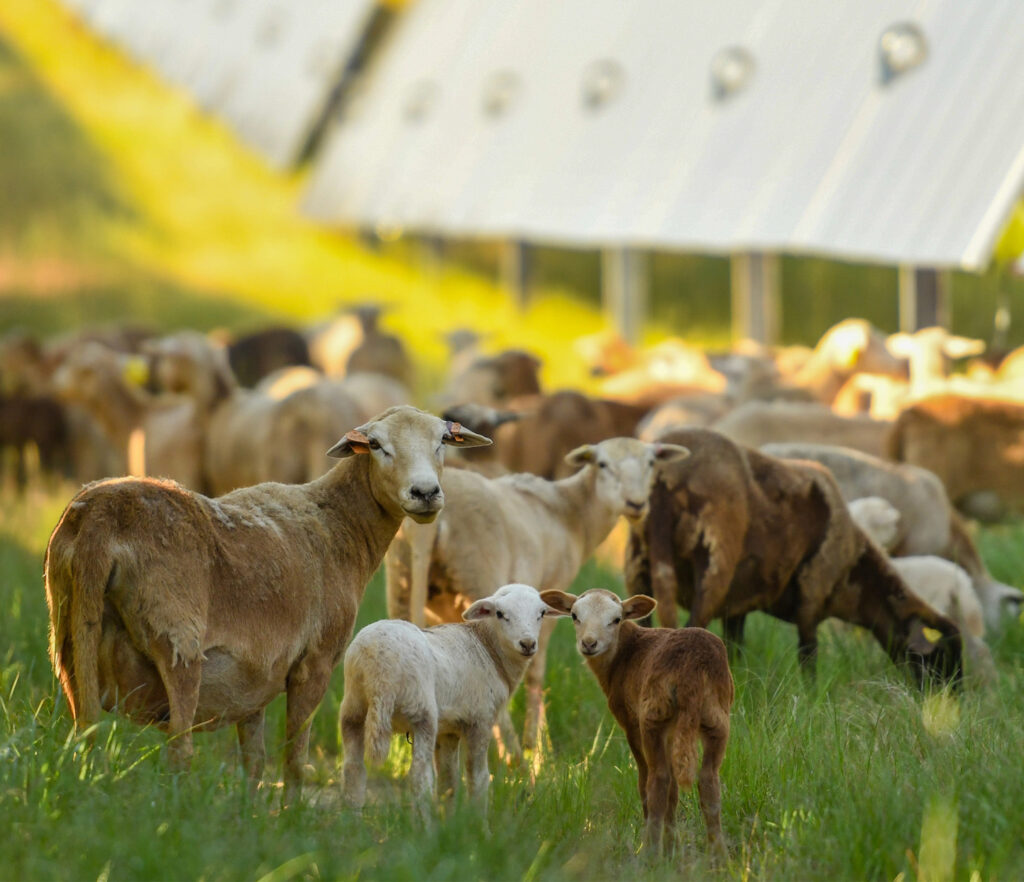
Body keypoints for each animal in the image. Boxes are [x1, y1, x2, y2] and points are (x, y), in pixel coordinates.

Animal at [43, 406, 491, 798]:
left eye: (442, 441)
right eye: (377, 445)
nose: (425, 493)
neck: (339, 525)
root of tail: (97, 520)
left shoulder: (254, 674)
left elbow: (254, 761)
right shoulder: (315, 662)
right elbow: (294, 758)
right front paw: (290, 816)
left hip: (69, 642)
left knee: (84, 734)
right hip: (178, 643)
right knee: (179, 751)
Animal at [340, 583, 556, 814]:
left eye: (542, 613)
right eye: (499, 614)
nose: (528, 644)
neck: (488, 649)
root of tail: (378, 663)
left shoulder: (449, 731)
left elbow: (448, 780)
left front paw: (450, 819)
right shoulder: (481, 720)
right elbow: (477, 778)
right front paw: (478, 820)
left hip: (353, 705)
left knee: (353, 769)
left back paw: (353, 818)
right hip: (421, 712)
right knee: (420, 777)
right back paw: (424, 822)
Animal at [385, 436, 691, 758]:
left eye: (651, 463)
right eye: (603, 464)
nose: (636, 504)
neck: (571, 514)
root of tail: (429, 526)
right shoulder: (549, 594)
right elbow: (536, 668)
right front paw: (537, 747)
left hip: (402, 578)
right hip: (479, 575)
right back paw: (514, 756)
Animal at [541, 589, 733, 857]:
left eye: (616, 619)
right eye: (574, 616)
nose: (589, 644)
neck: (621, 654)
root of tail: (692, 670)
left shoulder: (630, 722)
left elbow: (650, 783)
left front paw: (666, 847)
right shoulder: (672, 733)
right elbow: (675, 791)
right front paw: (672, 846)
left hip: (653, 715)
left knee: (656, 780)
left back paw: (650, 852)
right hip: (716, 717)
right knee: (708, 782)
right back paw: (720, 856)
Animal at [625, 428, 963, 684]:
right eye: (941, 660)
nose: (948, 706)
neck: (853, 573)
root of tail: (667, 476)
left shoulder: (737, 604)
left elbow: (735, 648)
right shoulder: (812, 596)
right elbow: (808, 656)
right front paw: (812, 696)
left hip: (637, 564)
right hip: (712, 565)